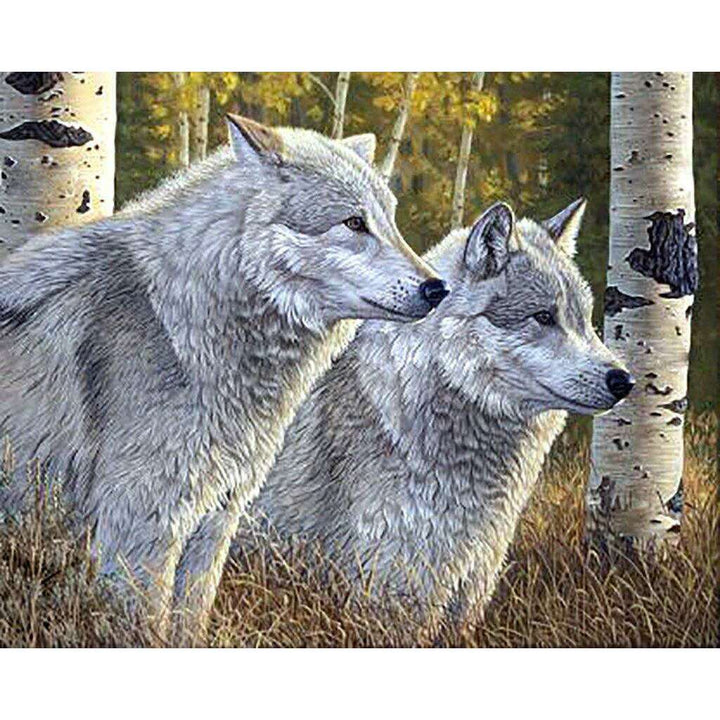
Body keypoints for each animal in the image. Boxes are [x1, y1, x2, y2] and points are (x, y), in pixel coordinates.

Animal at [0, 114, 447, 642]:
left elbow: (190, 625)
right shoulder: (139, 528)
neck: (180, 325)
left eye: (390, 221)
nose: (438, 288)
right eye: (354, 223)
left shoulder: (213, 522)